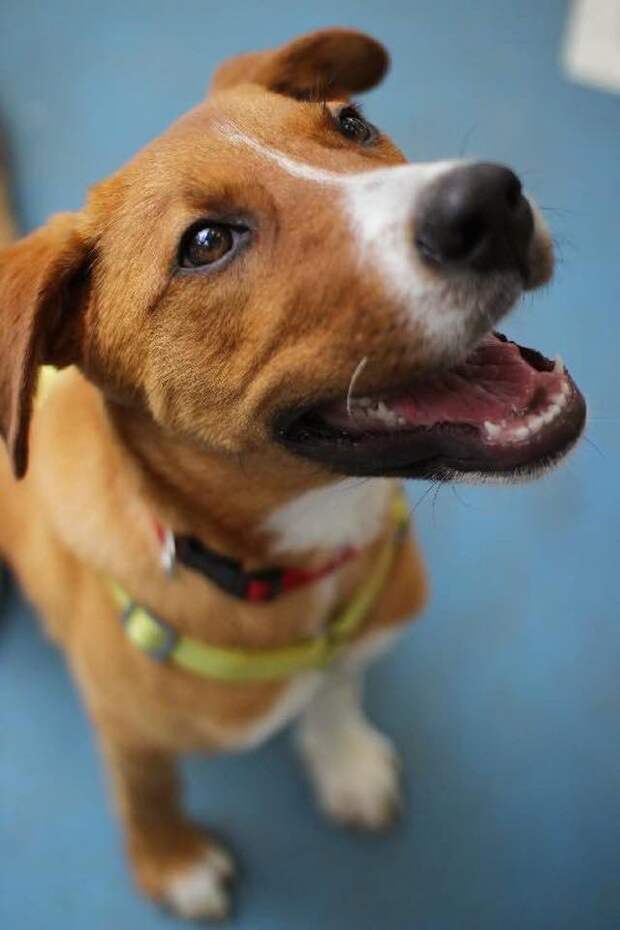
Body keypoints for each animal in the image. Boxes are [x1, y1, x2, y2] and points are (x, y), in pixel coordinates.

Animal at [0, 28, 585, 920]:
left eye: (351, 123)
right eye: (206, 243)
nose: (488, 202)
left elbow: (337, 684)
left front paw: (342, 756)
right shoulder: (125, 724)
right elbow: (146, 790)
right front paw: (171, 862)